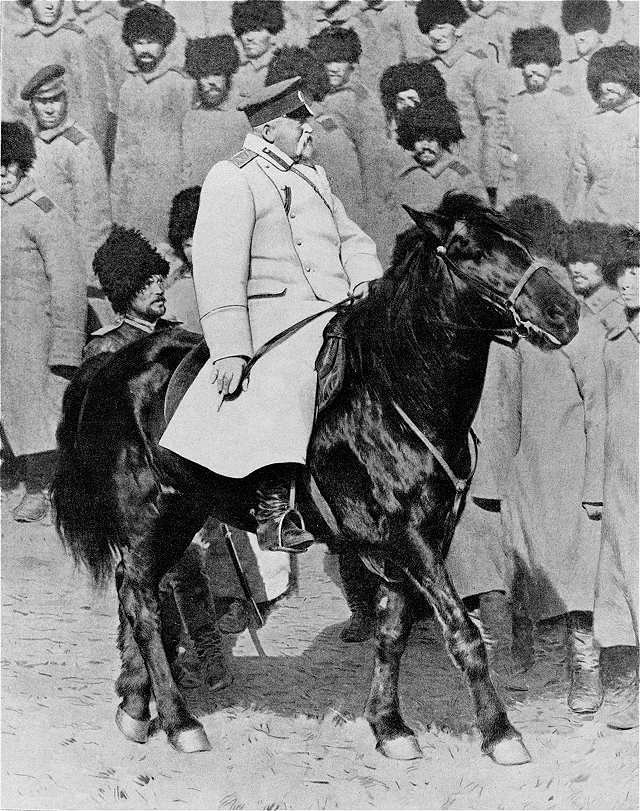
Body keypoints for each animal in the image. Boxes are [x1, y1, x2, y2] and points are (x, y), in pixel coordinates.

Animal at [51, 193, 579, 765]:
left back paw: (133, 706)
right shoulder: (410, 539)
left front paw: (389, 726)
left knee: (134, 591)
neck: (393, 394)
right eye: (471, 251)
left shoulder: (415, 541)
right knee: (143, 603)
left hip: (178, 516)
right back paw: (179, 721)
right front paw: (501, 733)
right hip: (150, 516)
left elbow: (391, 631)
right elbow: (462, 632)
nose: (566, 311)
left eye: (519, 243)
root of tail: (108, 366)